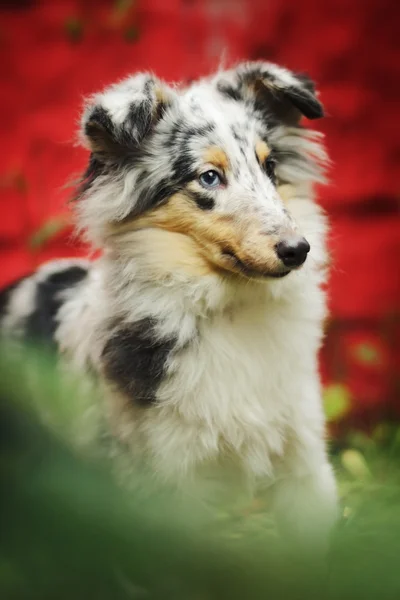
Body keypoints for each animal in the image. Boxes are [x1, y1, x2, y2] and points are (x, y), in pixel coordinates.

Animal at [0, 61, 338, 548]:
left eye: (270, 166)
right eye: (209, 176)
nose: (298, 250)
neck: (231, 313)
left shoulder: (303, 453)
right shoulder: (168, 476)